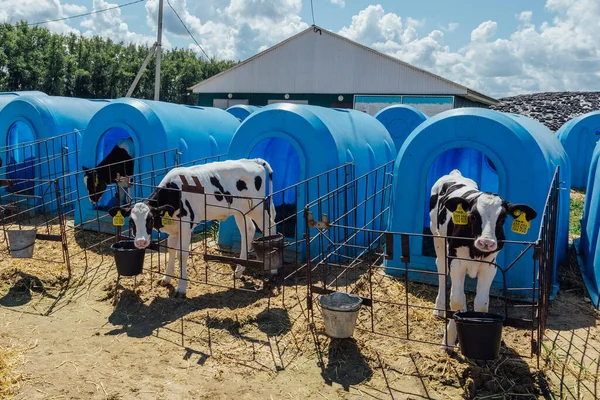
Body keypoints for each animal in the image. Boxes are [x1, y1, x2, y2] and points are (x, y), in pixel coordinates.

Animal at [108, 159, 276, 296]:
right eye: (131, 222)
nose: (141, 242)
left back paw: (272, 269)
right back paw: (239, 271)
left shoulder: (185, 225)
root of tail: (253, 161)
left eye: (149, 220)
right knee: (248, 230)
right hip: (240, 211)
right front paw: (167, 278)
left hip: (258, 207)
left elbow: (182, 254)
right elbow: (171, 251)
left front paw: (181, 287)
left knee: (270, 227)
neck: (174, 193)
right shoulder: (173, 229)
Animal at [428, 170, 536, 352]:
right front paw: (448, 341)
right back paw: (440, 307)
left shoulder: (489, 267)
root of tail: (455, 174)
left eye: (502, 218)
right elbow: (456, 299)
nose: (486, 243)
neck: (476, 251)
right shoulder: (456, 263)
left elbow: (481, 303)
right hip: (436, 236)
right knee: (441, 268)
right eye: (472, 215)